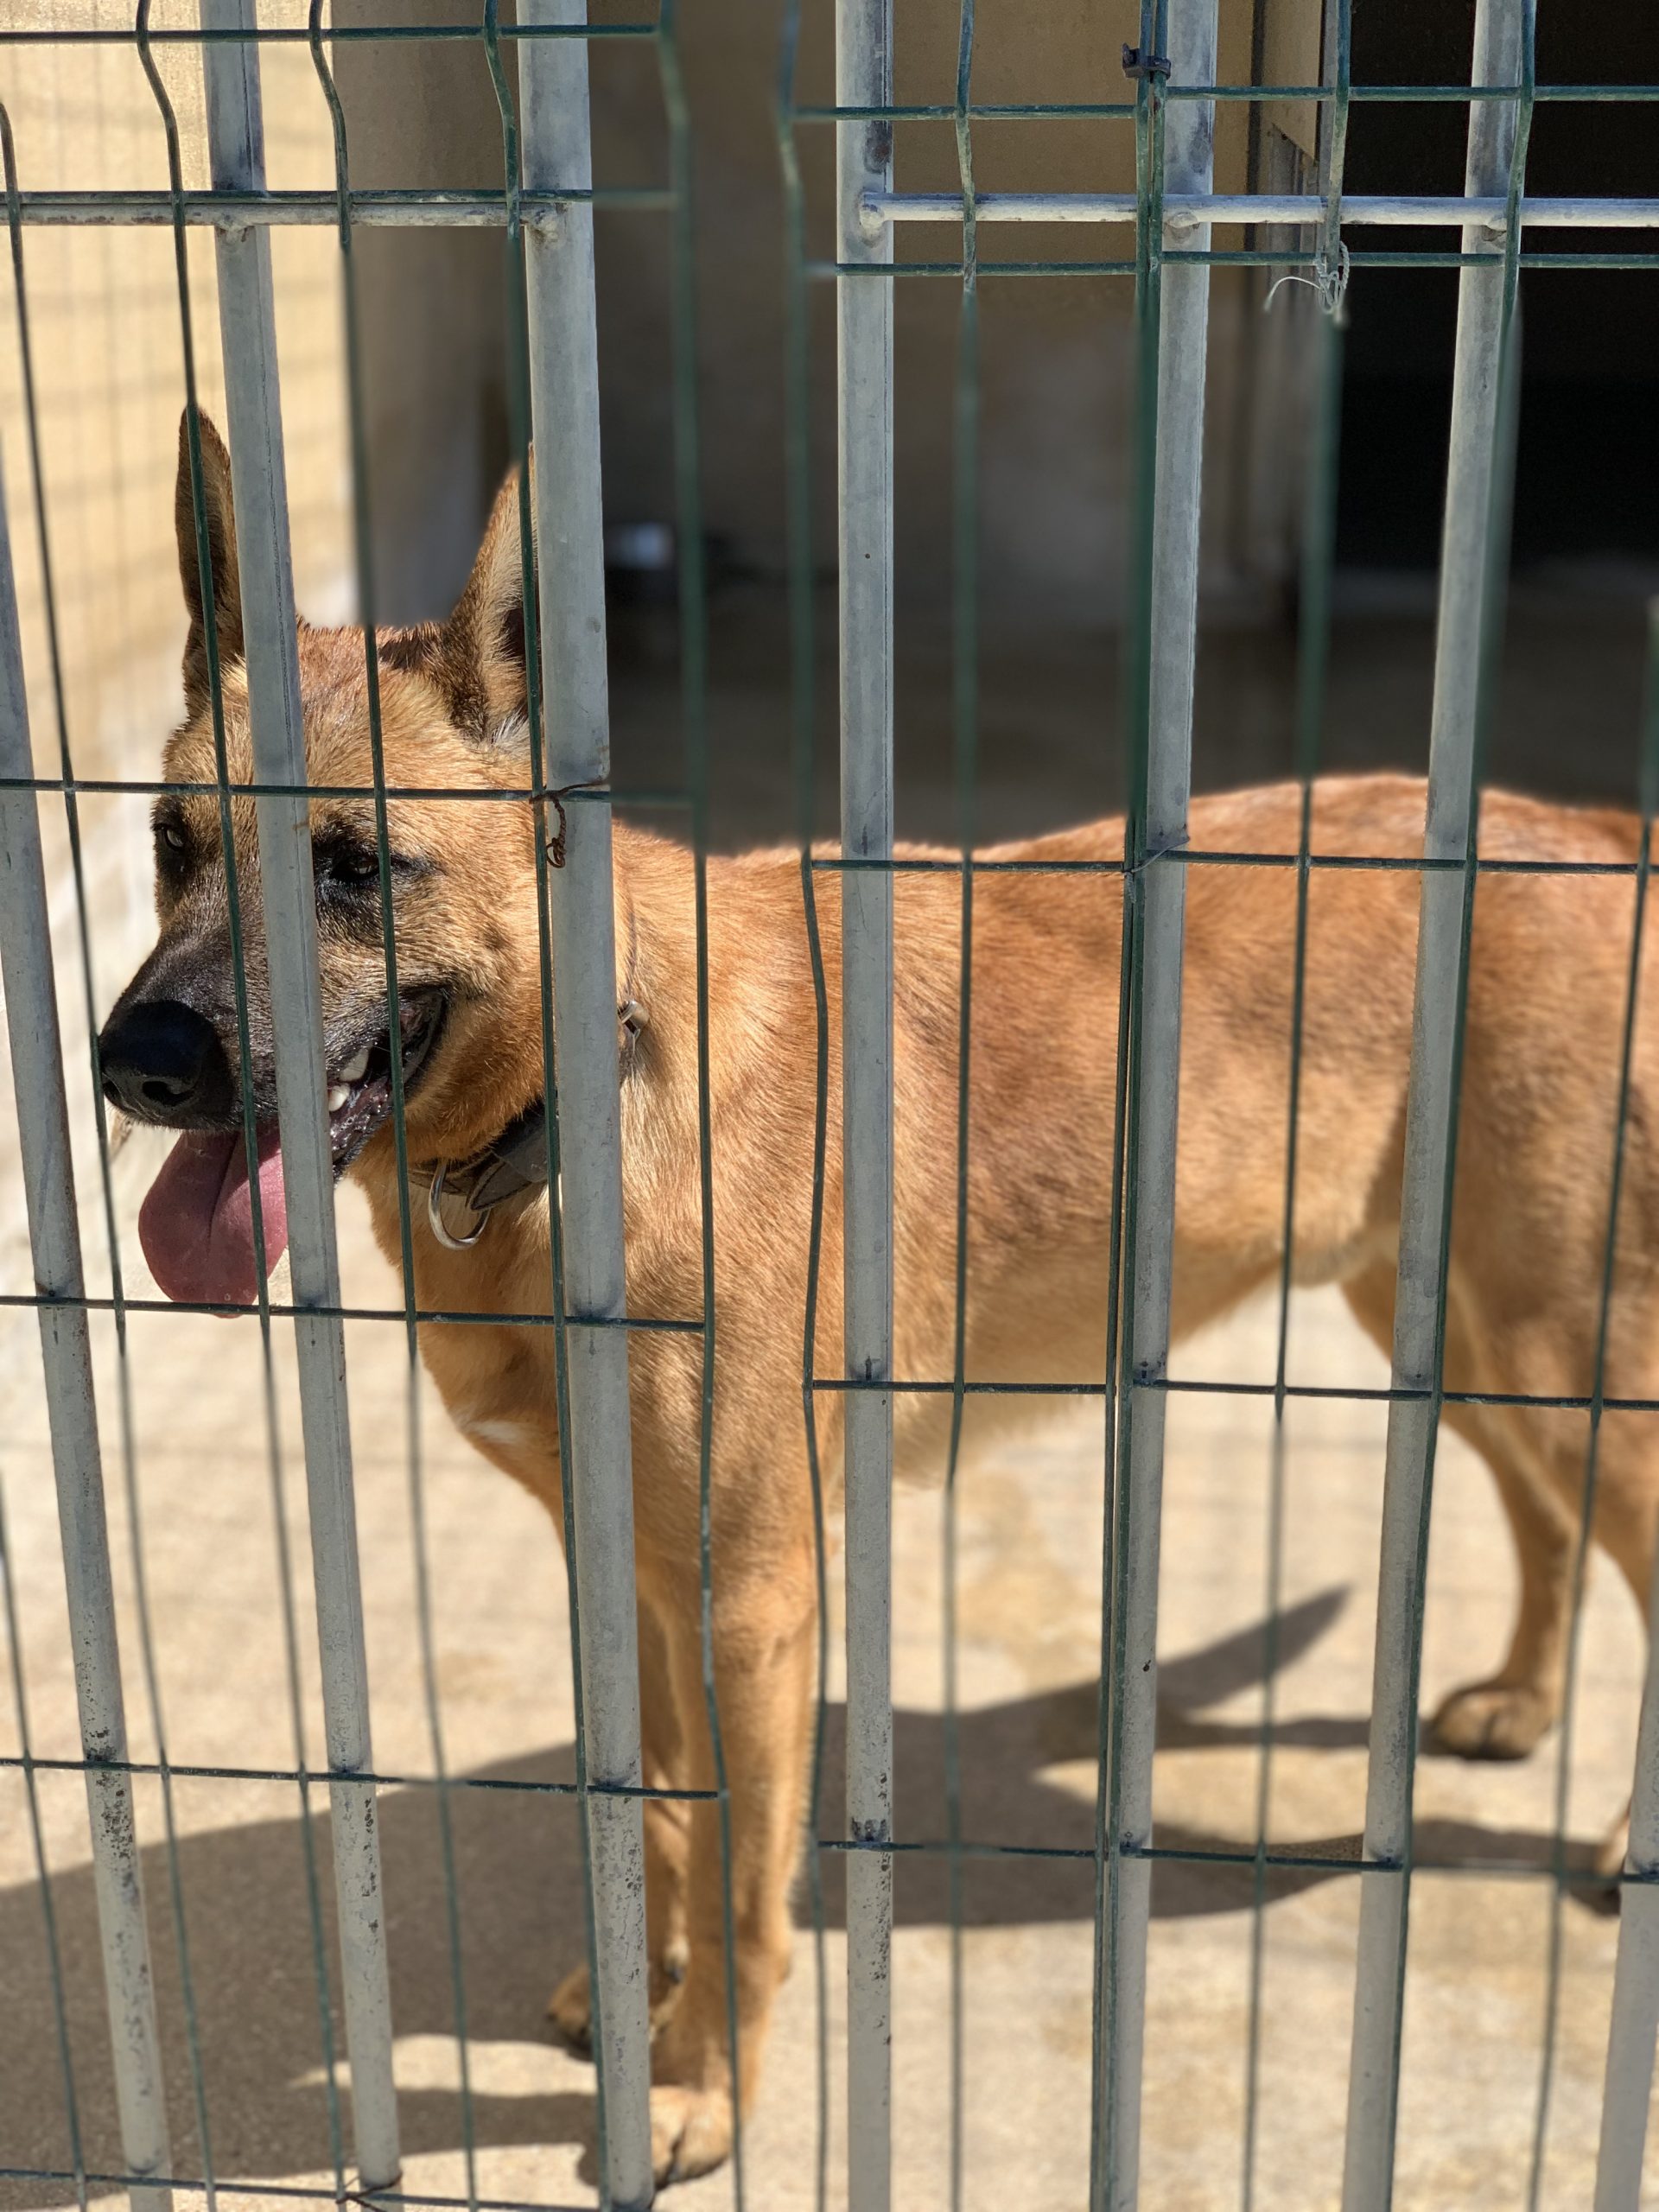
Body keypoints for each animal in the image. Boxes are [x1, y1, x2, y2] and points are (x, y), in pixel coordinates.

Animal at [100, 416, 1654, 2177]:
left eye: (356, 865)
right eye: (169, 846)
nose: (134, 1066)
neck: (591, 1086)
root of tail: (1592, 832)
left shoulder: (757, 1601)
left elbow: (743, 1870)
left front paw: (700, 2090)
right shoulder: (637, 1579)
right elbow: (667, 1818)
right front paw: (643, 2004)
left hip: (1554, 1344)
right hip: (1462, 1332)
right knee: (1544, 1518)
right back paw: (1525, 1700)